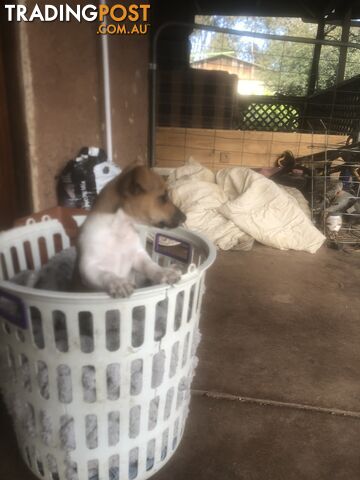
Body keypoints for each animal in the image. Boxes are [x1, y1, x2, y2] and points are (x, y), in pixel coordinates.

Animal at [75, 165, 186, 296]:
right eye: (163, 197)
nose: (185, 218)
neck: (120, 229)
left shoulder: (138, 256)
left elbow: (151, 266)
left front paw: (164, 272)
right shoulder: (88, 267)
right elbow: (106, 274)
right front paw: (119, 282)